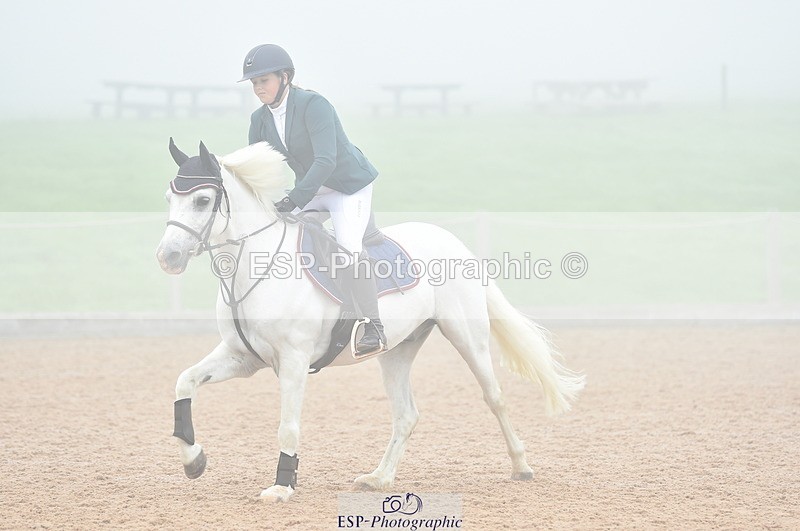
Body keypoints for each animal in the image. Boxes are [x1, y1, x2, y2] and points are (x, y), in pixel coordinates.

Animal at [156, 139, 585, 502]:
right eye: (169, 198)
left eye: (203, 200)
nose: (167, 258)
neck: (254, 267)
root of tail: (454, 243)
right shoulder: (242, 357)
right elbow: (184, 382)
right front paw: (193, 459)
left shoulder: (293, 360)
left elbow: (288, 425)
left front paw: (281, 487)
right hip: (397, 350)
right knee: (406, 415)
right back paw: (380, 478)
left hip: (467, 337)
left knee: (494, 397)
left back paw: (521, 465)